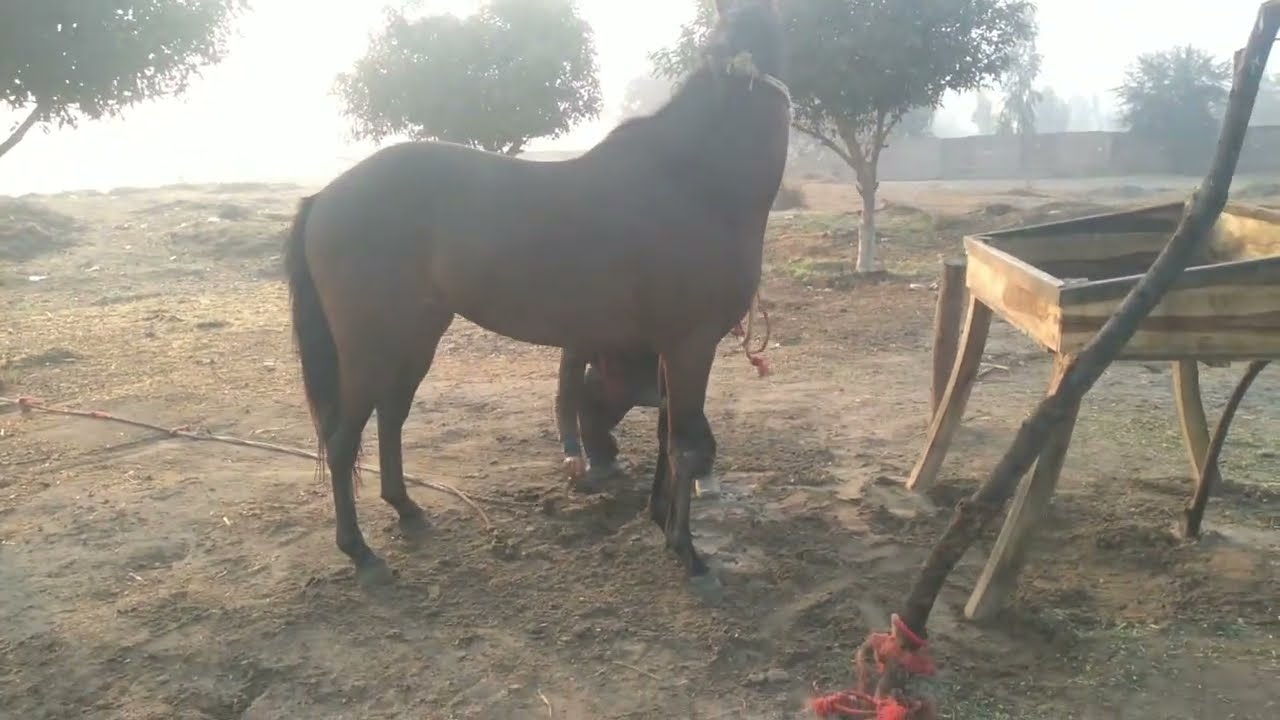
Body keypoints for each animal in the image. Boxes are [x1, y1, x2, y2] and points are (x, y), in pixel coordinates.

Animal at [284, 0, 789, 595]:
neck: (695, 179)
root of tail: (325, 197)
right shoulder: (691, 344)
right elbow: (687, 447)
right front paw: (688, 554)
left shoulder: (671, 347)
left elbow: (668, 438)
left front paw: (661, 521)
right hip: (370, 348)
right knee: (343, 440)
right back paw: (361, 553)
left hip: (416, 337)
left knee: (392, 417)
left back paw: (406, 509)